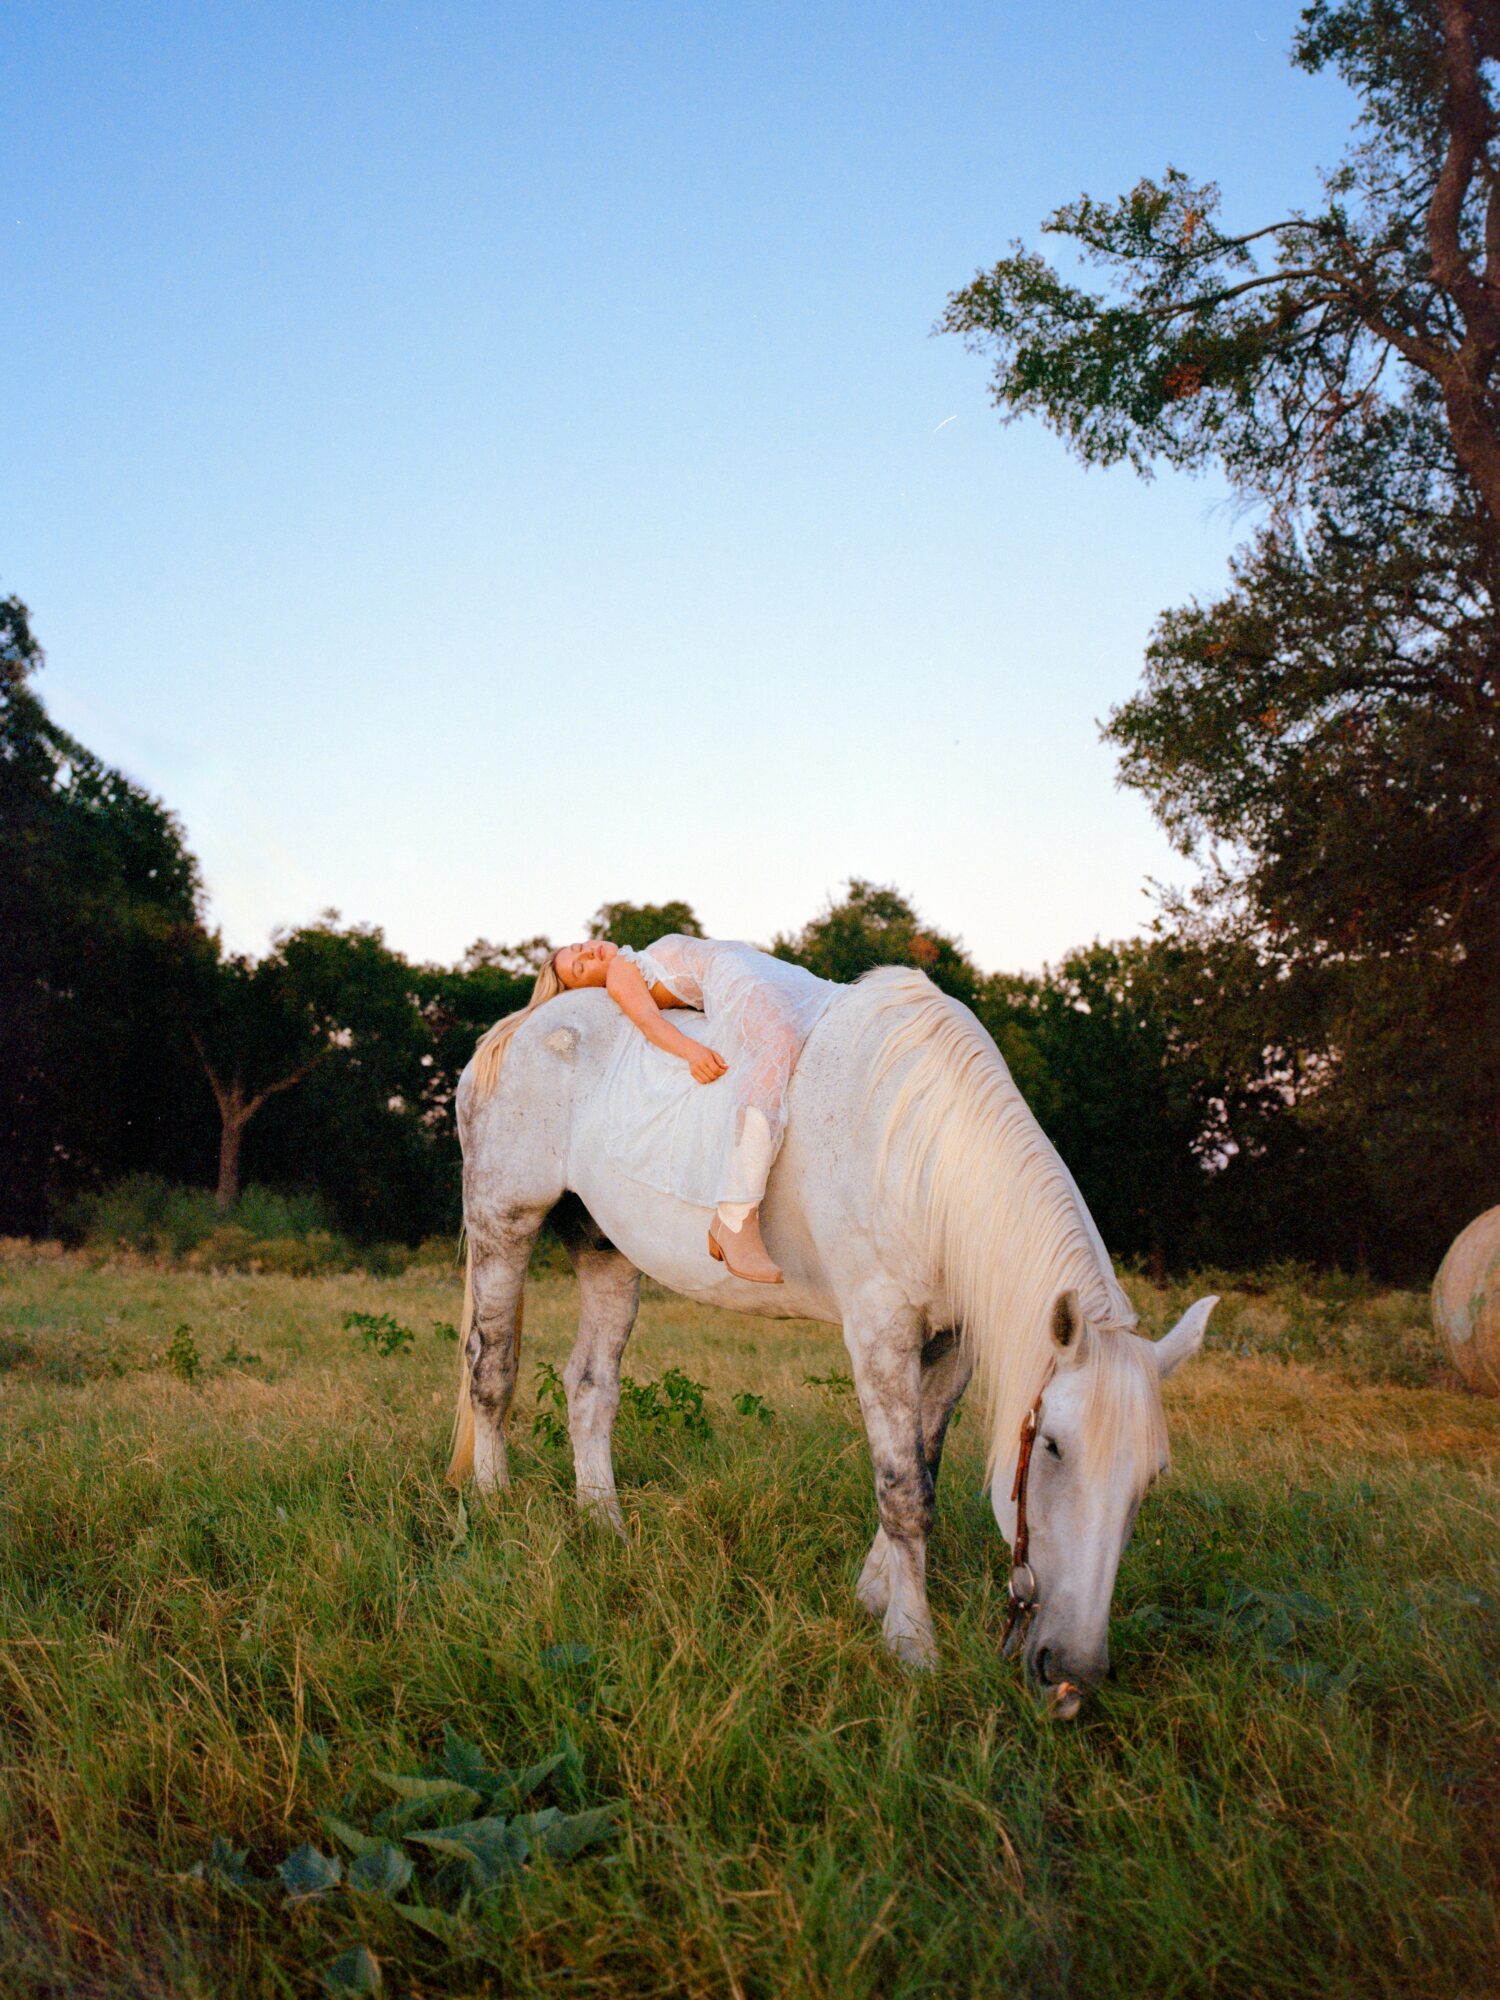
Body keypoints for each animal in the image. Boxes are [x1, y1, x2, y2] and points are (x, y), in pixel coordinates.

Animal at [446, 966, 1216, 1715]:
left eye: (1152, 1475)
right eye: (1052, 1446)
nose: (1072, 1677)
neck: (924, 1153)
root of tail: (522, 1027)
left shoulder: (950, 1347)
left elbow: (923, 1464)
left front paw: (875, 1597)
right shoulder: (880, 1331)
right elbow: (904, 1491)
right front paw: (913, 1645)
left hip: (605, 1250)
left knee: (590, 1387)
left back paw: (604, 1524)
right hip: (503, 1225)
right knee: (493, 1370)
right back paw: (493, 1502)